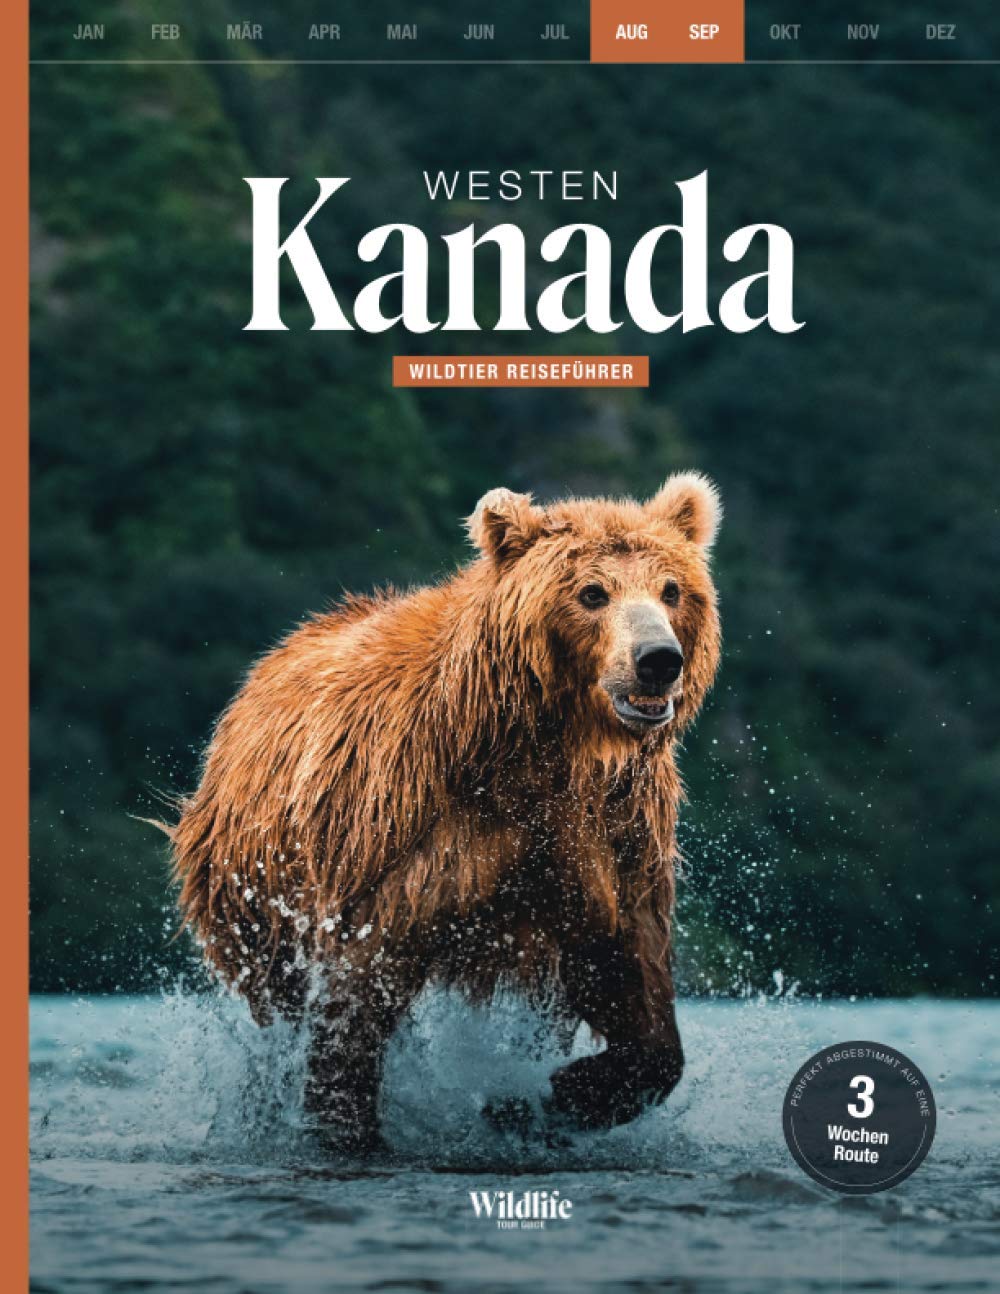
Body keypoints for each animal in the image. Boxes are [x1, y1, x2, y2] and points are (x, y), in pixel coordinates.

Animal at [170, 472, 722, 1150]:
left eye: (672, 589)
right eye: (592, 592)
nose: (657, 660)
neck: (543, 748)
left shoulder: (608, 834)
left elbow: (628, 971)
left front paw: (556, 1092)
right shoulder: (413, 835)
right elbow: (361, 987)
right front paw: (347, 1124)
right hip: (255, 886)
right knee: (279, 1004)